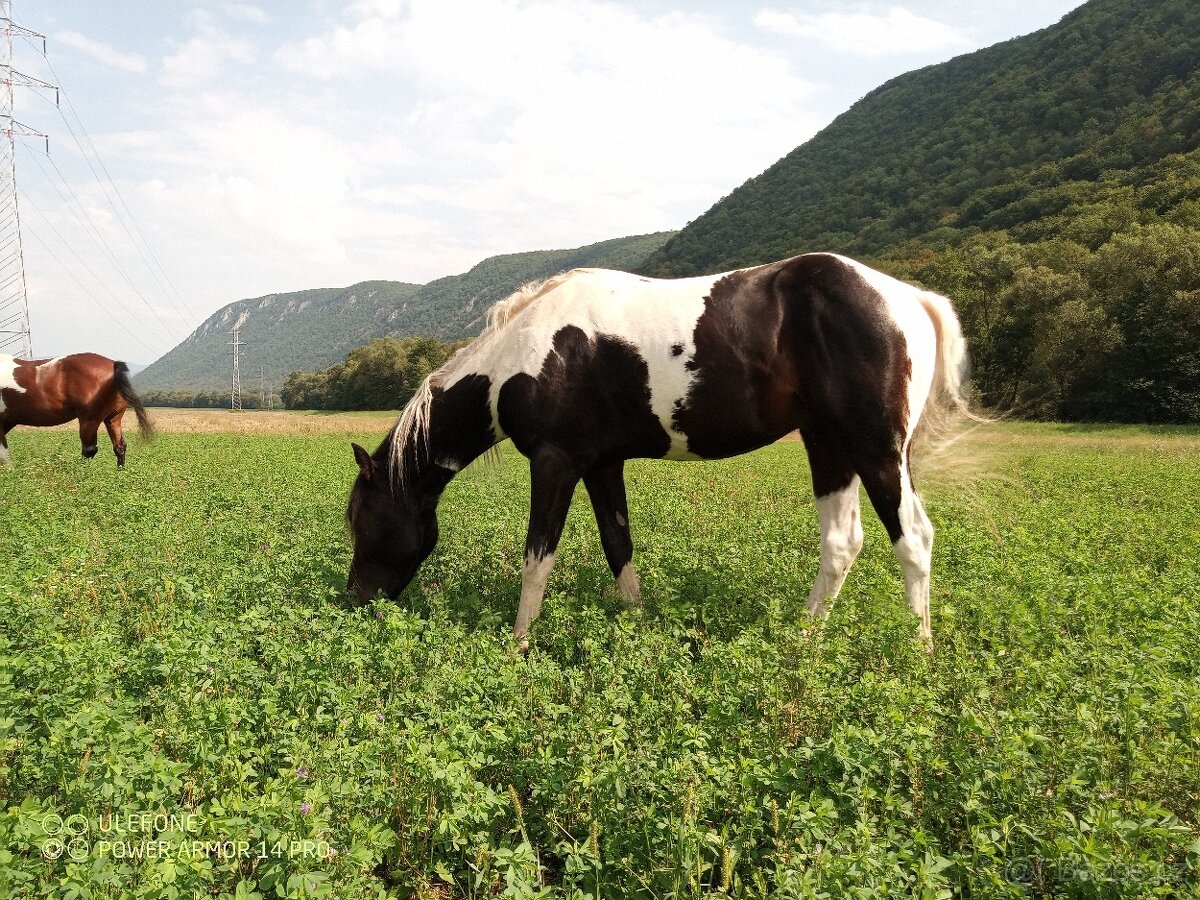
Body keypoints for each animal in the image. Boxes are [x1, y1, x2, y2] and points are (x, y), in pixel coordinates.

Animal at [346, 253, 971, 648]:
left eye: (361, 518)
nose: (354, 601)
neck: (524, 356)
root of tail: (909, 297)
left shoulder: (555, 463)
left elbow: (536, 558)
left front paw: (519, 644)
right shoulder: (601, 465)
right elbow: (618, 547)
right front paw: (636, 626)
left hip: (876, 449)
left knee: (913, 539)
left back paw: (918, 649)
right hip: (829, 445)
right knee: (843, 542)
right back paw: (805, 640)